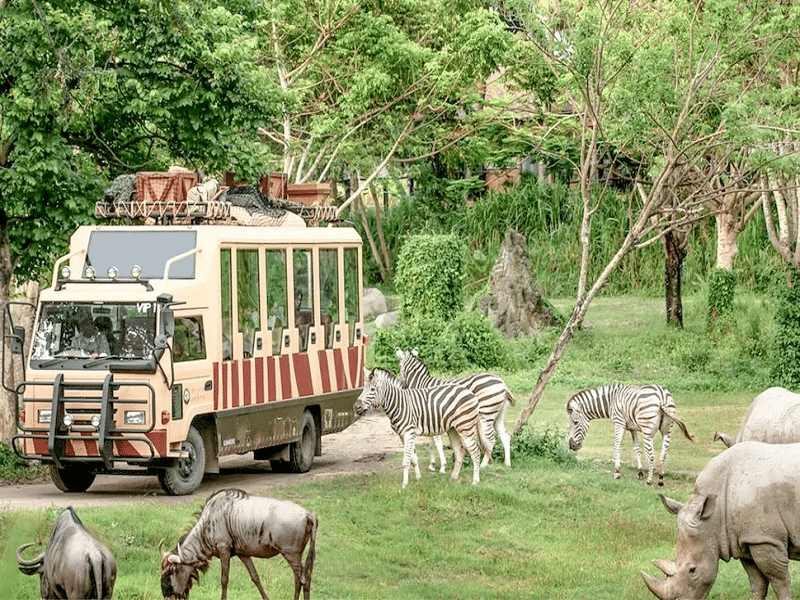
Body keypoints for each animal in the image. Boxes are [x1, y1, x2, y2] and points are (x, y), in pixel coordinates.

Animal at [354, 366, 490, 488]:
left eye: (372, 389)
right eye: (363, 389)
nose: (356, 407)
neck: (399, 404)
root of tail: (470, 393)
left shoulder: (409, 432)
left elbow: (406, 461)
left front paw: (404, 485)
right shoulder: (402, 435)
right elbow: (413, 458)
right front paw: (418, 478)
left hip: (465, 427)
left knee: (475, 452)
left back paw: (475, 481)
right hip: (453, 429)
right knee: (459, 451)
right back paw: (454, 477)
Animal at [396, 344, 516, 472]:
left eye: (399, 367)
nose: (402, 386)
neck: (422, 384)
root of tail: (502, 382)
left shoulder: (434, 414)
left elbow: (437, 442)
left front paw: (442, 466)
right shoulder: (429, 417)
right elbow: (431, 442)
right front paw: (432, 465)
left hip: (486, 414)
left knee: (490, 440)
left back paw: (483, 464)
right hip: (498, 415)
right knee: (505, 436)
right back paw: (507, 463)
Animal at [564, 384, 692, 488]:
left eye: (575, 422)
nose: (571, 446)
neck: (610, 402)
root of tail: (662, 396)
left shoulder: (619, 423)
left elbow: (616, 447)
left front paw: (617, 472)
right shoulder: (632, 428)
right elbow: (636, 449)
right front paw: (640, 472)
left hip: (647, 431)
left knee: (651, 455)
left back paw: (650, 480)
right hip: (667, 430)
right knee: (663, 454)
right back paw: (660, 479)